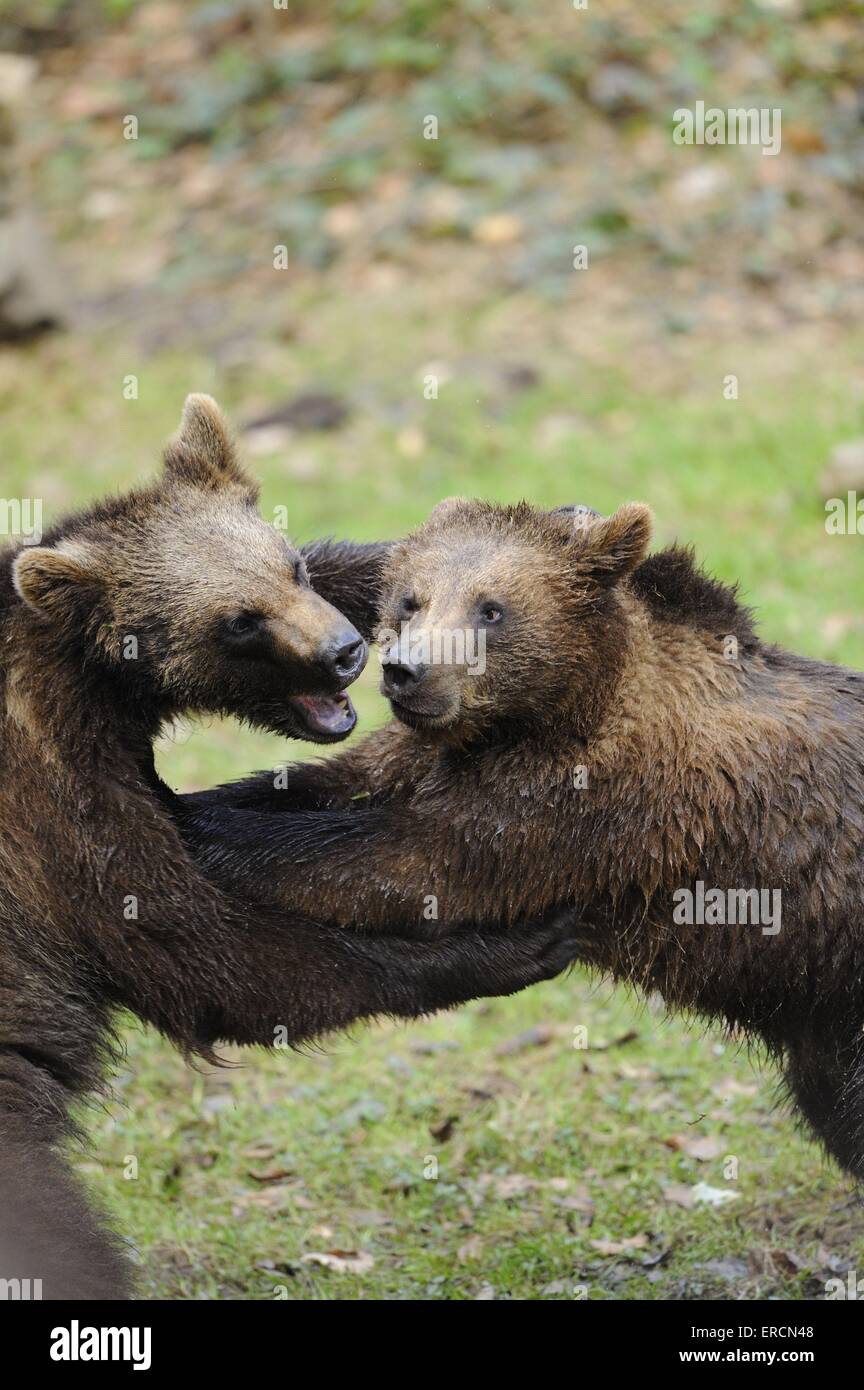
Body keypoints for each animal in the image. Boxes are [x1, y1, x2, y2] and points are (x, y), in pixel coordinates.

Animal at [1, 405, 583, 1295]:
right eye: (238, 620)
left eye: (295, 565)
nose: (346, 652)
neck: (94, 692)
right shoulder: (57, 814)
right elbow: (205, 953)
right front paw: (505, 944)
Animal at [184, 494, 864, 1178]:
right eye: (410, 600)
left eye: (491, 609)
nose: (407, 671)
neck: (542, 714)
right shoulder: (424, 756)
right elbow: (323, 783)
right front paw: (195, 801)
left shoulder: (585, 806)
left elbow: (402, 864)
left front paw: (206, 832)